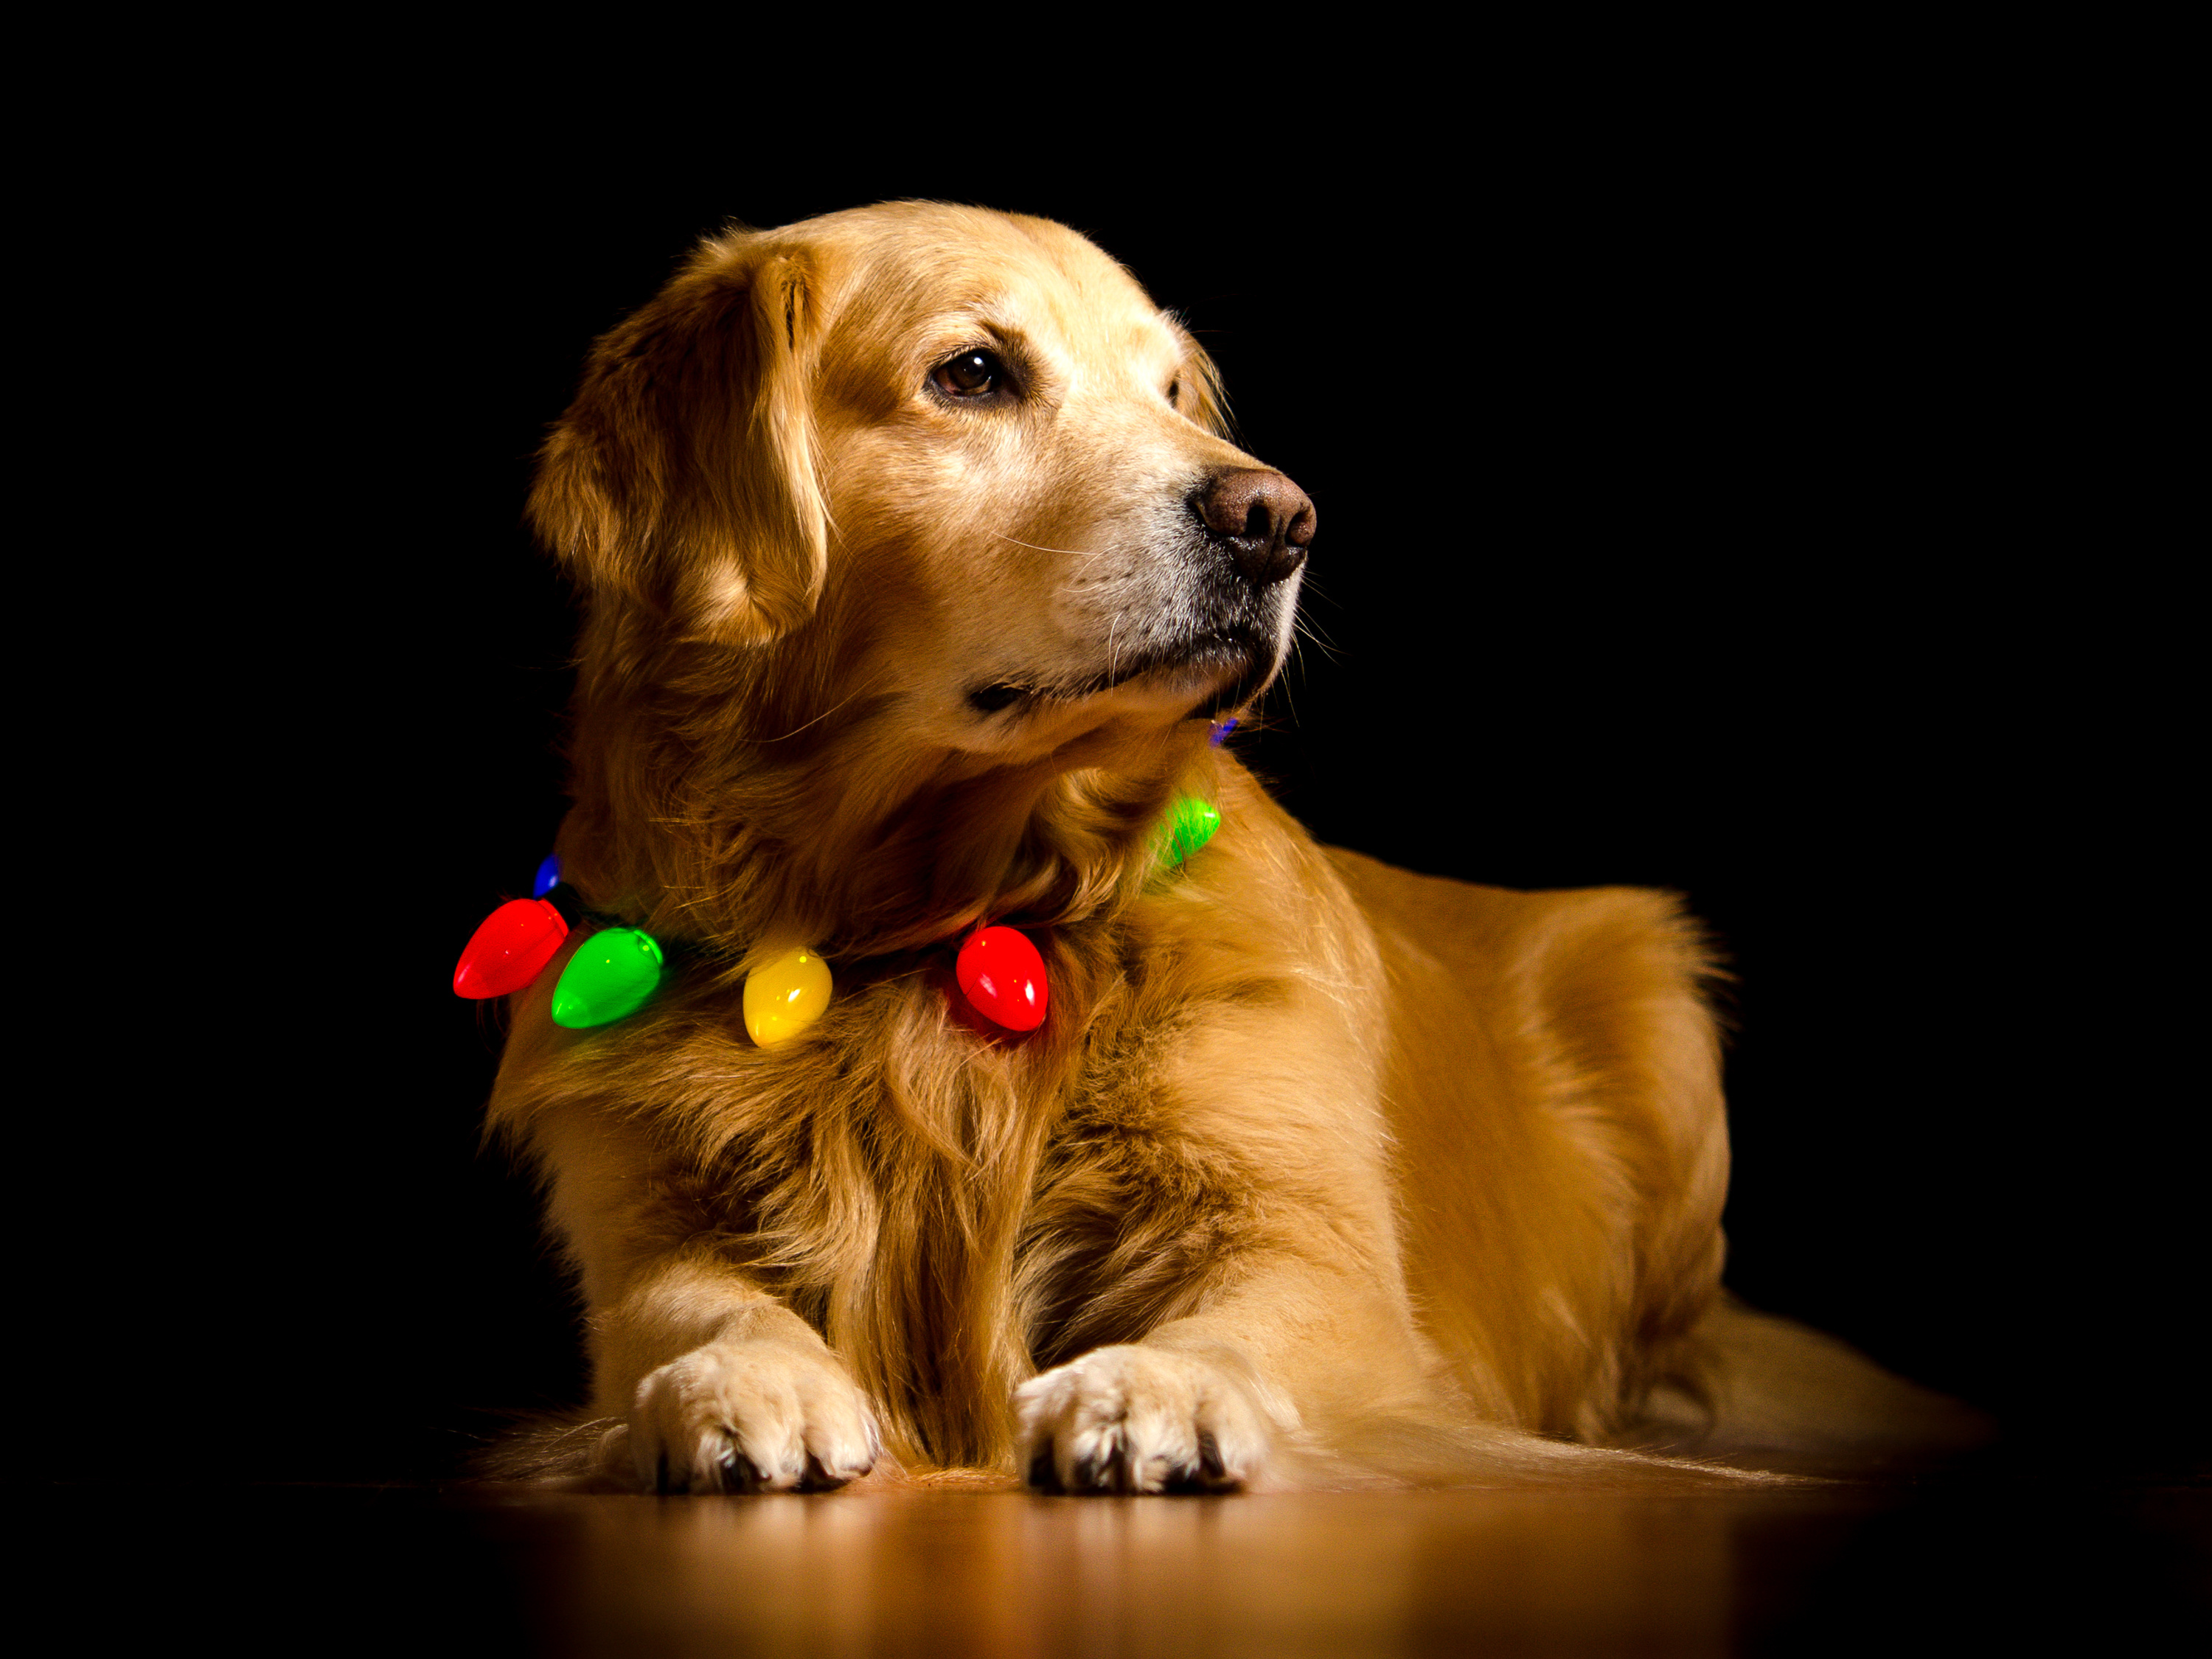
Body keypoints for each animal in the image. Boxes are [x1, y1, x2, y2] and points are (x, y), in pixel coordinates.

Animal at [484, 198, 1973, 1495]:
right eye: (973, 373)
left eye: (1171, 395)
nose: (1279, 517)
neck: (916, 922)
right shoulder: (642, 1226)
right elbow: (688, 1311)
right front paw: (746, 1383)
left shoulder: (1312, 1251)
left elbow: (1243, 1325)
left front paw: (1153, 1386)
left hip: (1651, 987)